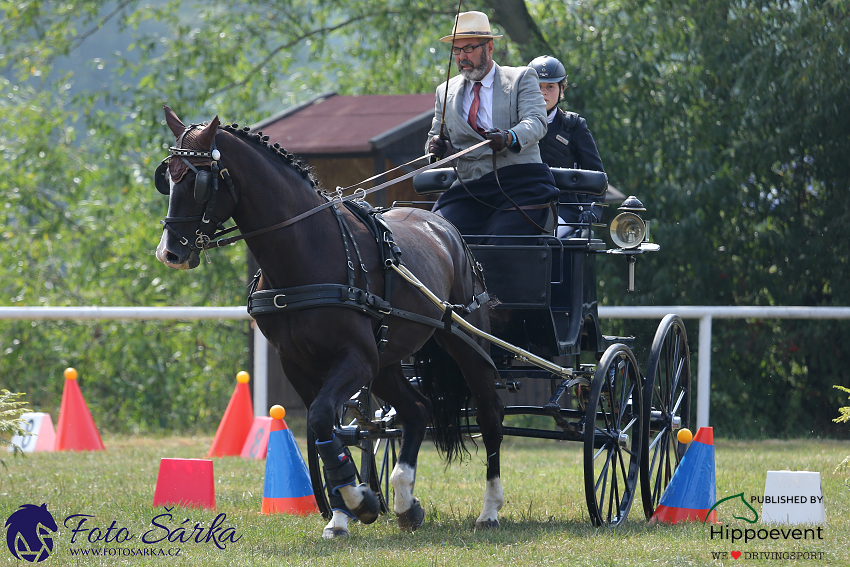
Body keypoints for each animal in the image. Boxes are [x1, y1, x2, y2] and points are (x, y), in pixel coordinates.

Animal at [153, 107, 504, 540]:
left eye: (198, 181)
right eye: (167, 176)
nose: (169, 252)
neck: (305, 251)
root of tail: (441, 225)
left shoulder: (355, 359)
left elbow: (322, 418)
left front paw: (358, 500)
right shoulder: (298, 363)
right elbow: (325, 429)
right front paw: (342, 511)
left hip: (465, 344)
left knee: (489, 415)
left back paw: (490, 508)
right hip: (386, 362)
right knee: (417, 411)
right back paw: (405, 501)